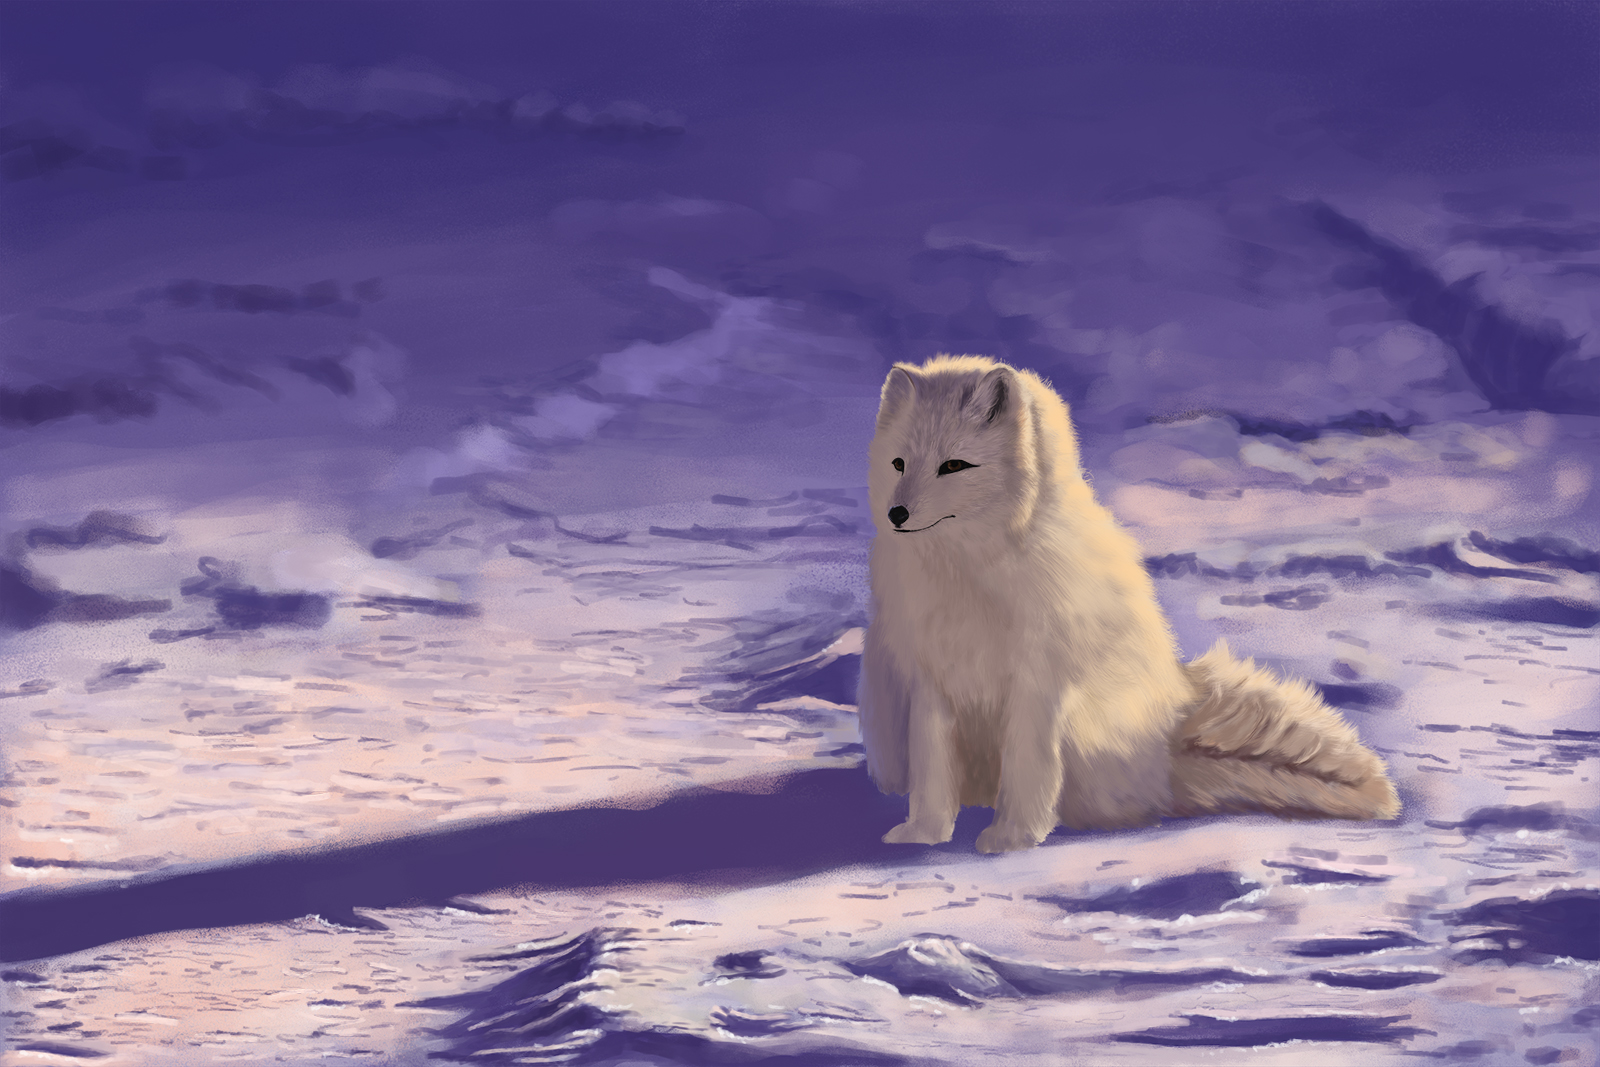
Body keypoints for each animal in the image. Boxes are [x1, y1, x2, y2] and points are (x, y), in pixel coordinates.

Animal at [859, 354, 1399, 853]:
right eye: (899, 463)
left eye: (954, 465)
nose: (897, 513)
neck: (966, 570)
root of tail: (1172, 732)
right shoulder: (930, 681)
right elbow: (932, 771)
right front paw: (924, 835)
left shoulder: (1039, 684)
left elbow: (1030, 768)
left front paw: (1014, 837)